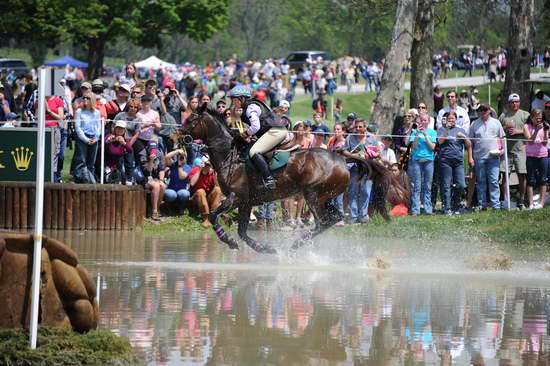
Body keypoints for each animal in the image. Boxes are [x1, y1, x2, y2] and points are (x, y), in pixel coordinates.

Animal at [178, 101, 392, 253]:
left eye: (191, 120)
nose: (177, 136)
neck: (229, 155)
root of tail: (341, 158)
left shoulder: (235, 198)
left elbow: (214, 216)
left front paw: (228, 240)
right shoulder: (246, 202)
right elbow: (242, 232)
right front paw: (265, 248)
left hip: (313, 195)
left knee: (322, 221)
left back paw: (296, 244)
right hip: (326, 196)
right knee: (334, 218)